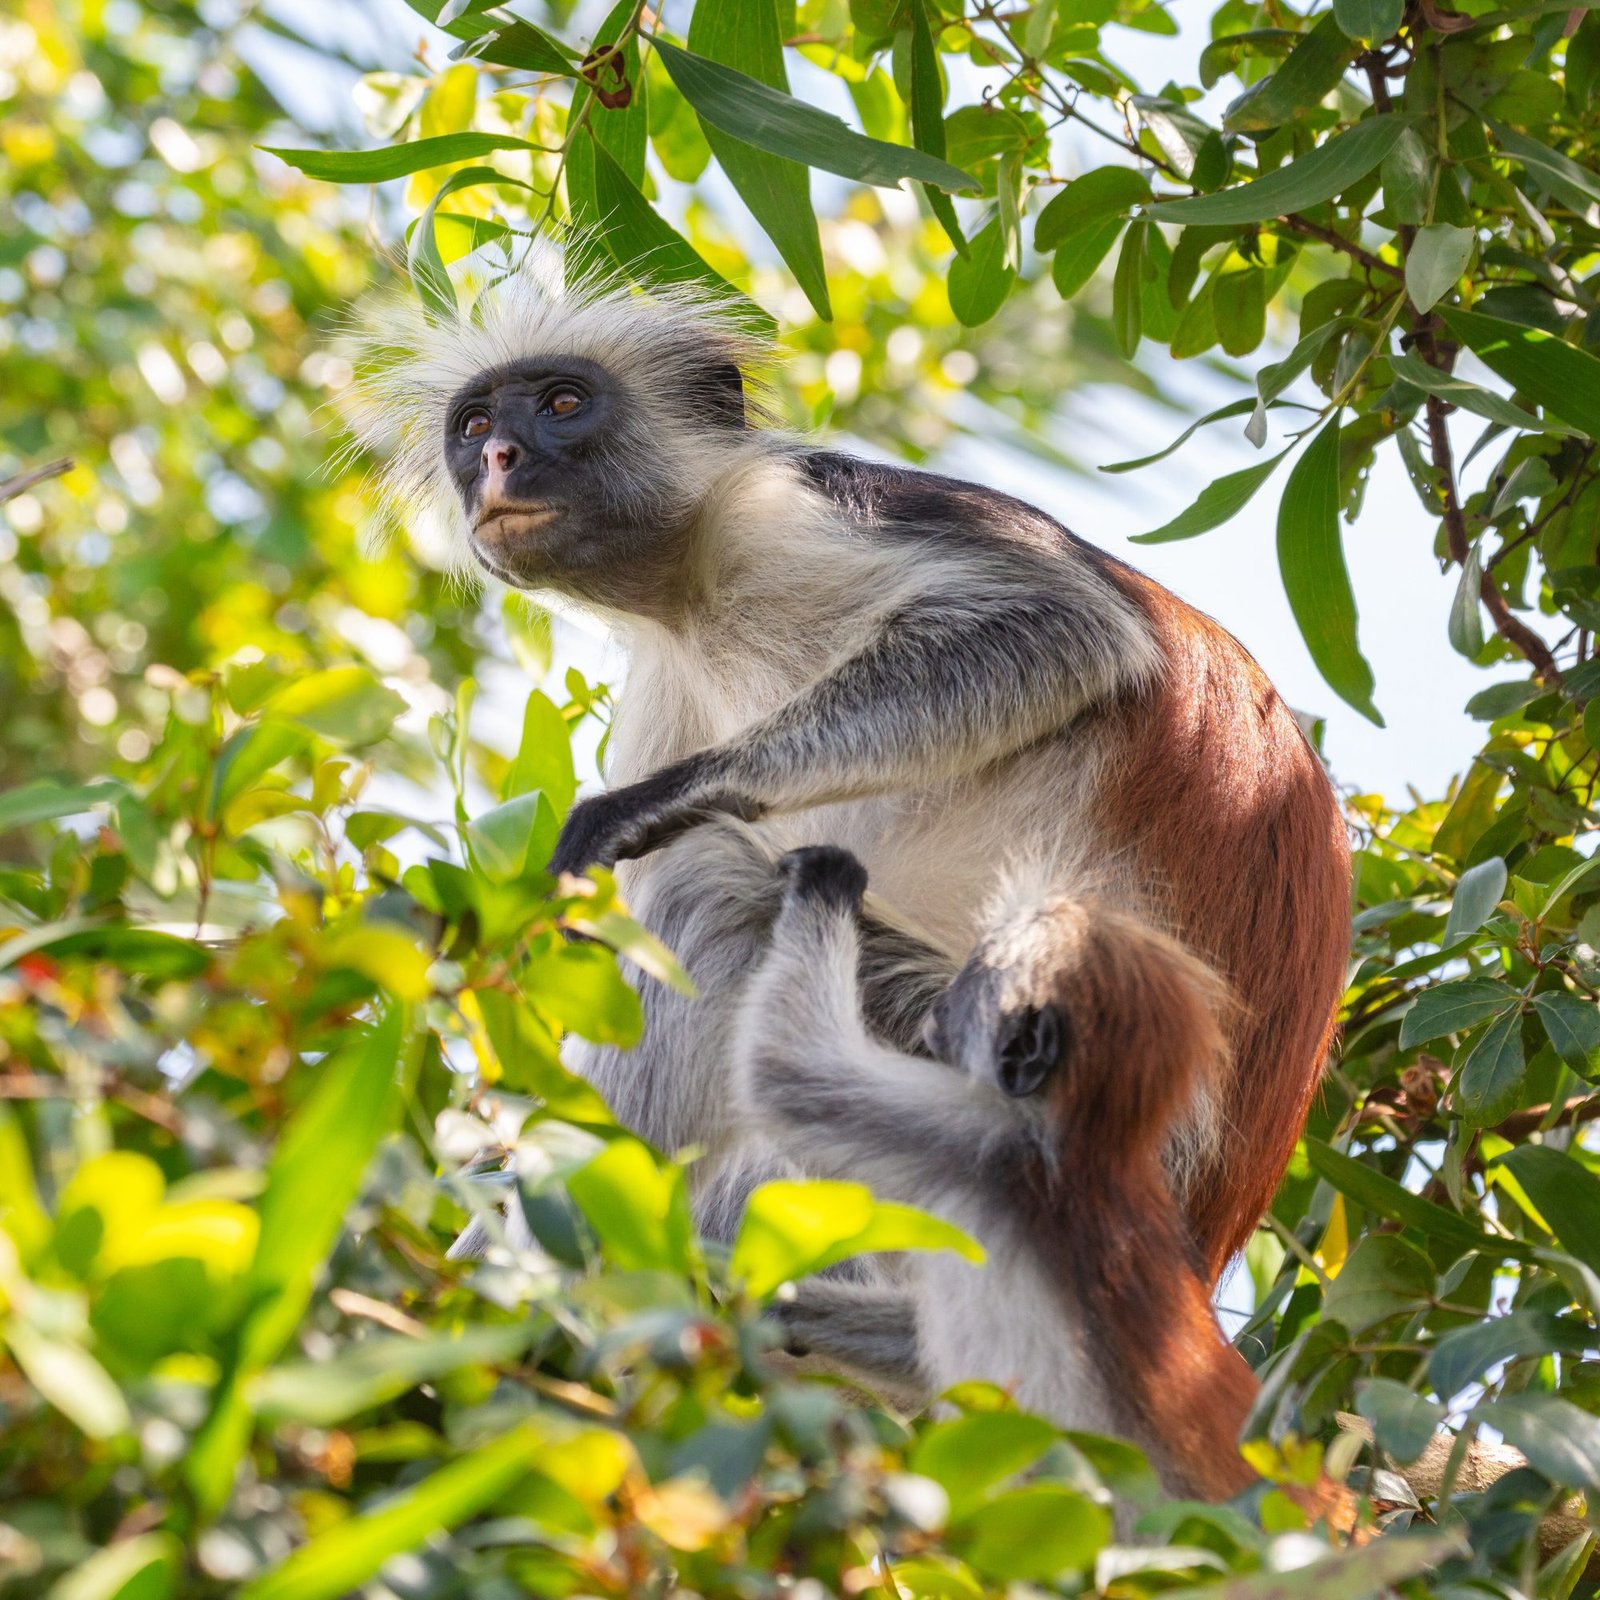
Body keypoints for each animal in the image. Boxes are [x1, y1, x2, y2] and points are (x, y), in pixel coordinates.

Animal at [351, 257, 1350, 1293]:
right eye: (474, 427)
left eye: (561, 403)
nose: (502, 459)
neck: (691, 588)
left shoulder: (796, 512)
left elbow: (1070, 627)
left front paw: (652, 805)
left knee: (712, 888)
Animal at [728, 841, 1260, 1502]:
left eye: (971, 980)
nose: (939, 1003)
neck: (1090, 1147)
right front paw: (776, 1306)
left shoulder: (979, 1136)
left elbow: (785, 1072)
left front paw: (828, 878)